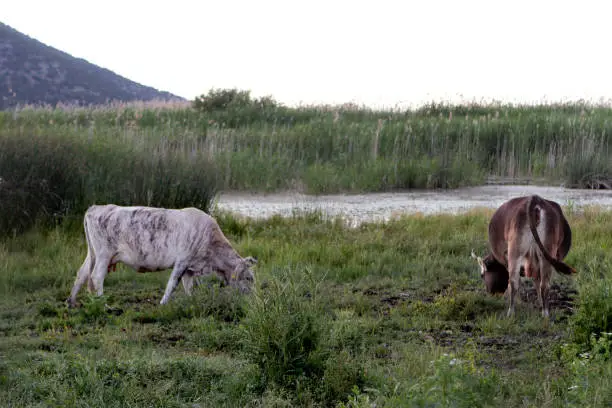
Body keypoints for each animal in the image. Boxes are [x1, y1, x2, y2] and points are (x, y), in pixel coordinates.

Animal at [67, 206, 258, 308]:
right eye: (249, 278)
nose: (254, 298)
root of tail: (96, 208)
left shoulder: (190, 267)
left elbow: (189, 286)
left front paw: (191, 302)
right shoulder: (182, 261)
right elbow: (172, 284)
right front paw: (163, 304)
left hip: (92, 254)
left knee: (82, 274)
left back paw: (71, 302)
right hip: (103, 254)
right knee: (96, 277)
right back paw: (103, 304)